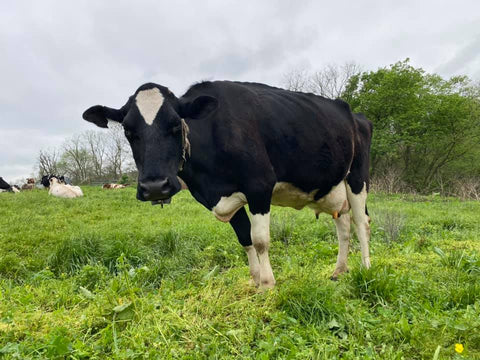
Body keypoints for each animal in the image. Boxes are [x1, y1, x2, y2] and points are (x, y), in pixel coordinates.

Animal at [84, 81, 374, 290]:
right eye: (128, 131)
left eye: (176, 124)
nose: (155, 186)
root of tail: (355, 113)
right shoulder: (227, 198)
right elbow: (245, 238)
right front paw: (255, 281)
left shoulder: (259, 187)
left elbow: (260, 240)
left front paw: (267, 285)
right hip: (333, 189)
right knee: (343, 227)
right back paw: (338, 271)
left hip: (357, 179)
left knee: (361, 223)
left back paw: (366, 268)